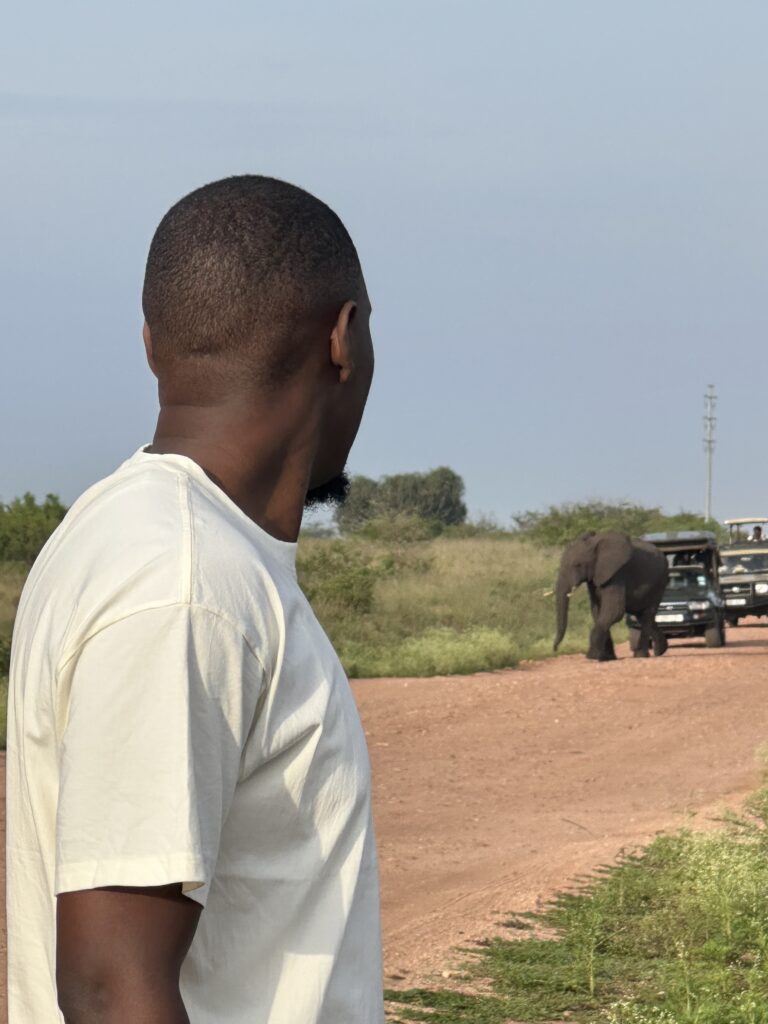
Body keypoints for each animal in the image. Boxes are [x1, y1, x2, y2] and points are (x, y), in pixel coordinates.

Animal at [553, 531, 669, 661]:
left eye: (577, 565)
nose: (555, 649)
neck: (594, 544)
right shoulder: (595, 577)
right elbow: (597, 611)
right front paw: (607, 657)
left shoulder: (617, 574)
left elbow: (614, 611)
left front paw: (592, 656)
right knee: (641, 616)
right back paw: (660, 650)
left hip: (659, 583)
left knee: (647, 614)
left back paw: (641, 655)